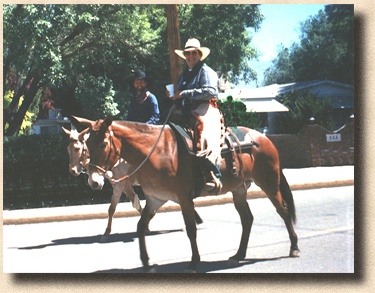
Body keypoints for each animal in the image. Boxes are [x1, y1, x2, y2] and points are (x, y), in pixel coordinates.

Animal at [75, 116, 302, 272]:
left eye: (103, 144)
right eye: (86, 145)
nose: (94, 181)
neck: (157, 152)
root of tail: (264, 138)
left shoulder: (184, 199)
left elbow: (191, 229)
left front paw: (194, 261)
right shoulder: (156, 199)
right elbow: (140, 226)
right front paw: (147, 262)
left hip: (269, 183)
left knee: (282, 210)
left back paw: (294, 247)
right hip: (239, 190)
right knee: (247, 219)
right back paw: (239, 254)